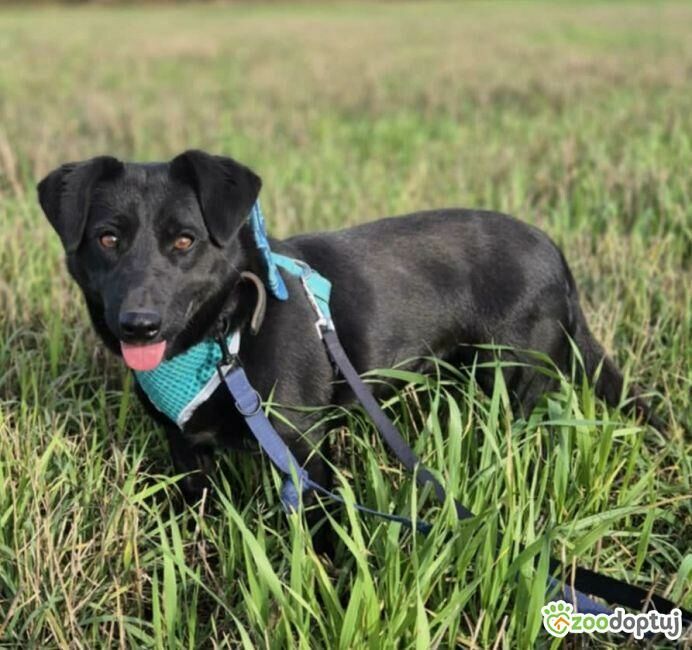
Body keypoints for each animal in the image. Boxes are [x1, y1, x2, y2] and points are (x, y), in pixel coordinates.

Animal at [37, 150, 663, 505]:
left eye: (185, 241)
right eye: (107, 238)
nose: (138, 326)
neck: (228, 333)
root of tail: (554, 250)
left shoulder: (303, 453)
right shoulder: (185, 452)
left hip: (514, 384)